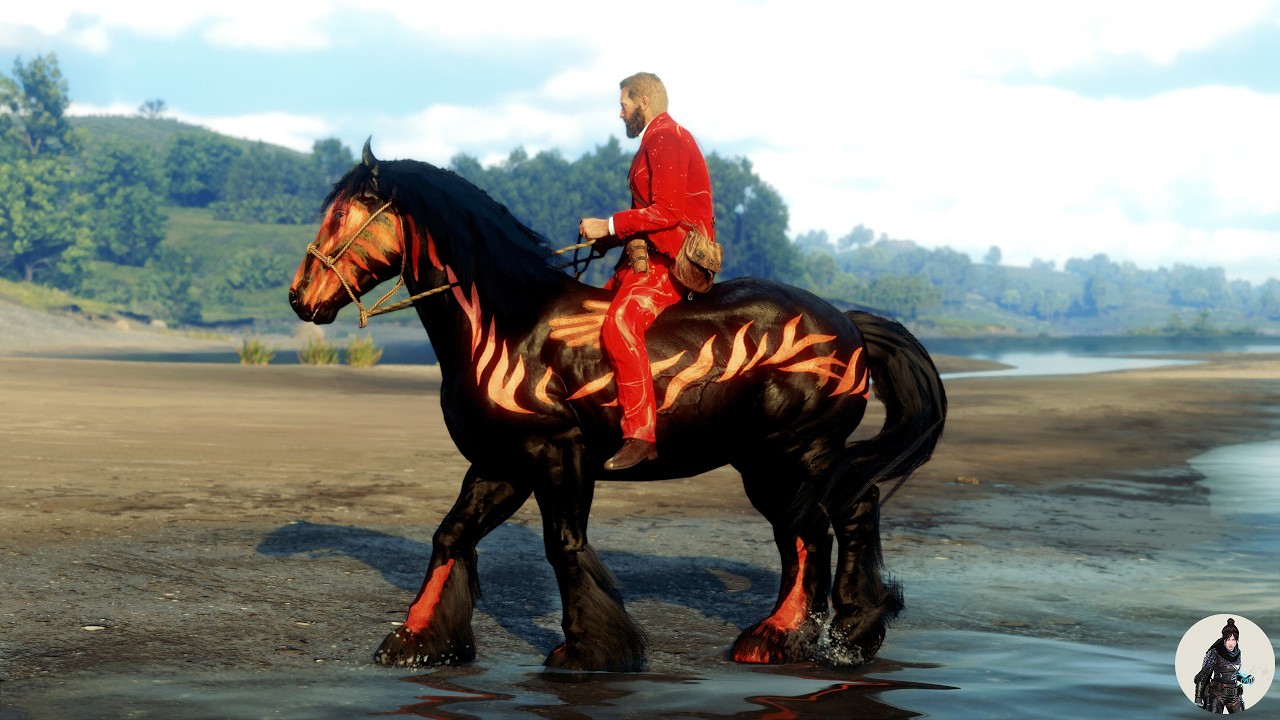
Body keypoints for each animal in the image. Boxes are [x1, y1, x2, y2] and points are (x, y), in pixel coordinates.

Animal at [288, 141, 947, 672]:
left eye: (341, 214)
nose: (299, 297)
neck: (508, 327)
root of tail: (849, 324)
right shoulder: (502, 463)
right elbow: (451, 536)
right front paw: (419, 640)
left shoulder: (559, 455)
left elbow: (563, 545)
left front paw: (590, 649)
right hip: (781, 462)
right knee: (825, 525)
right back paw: (816, 633)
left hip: (791, 454)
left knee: (829, 522)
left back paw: (814, 634)